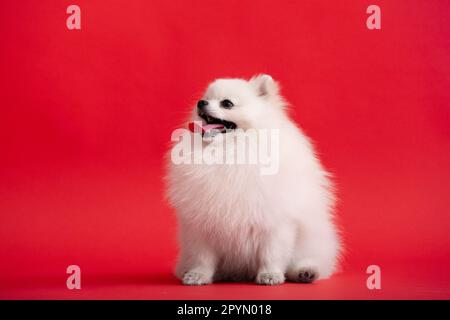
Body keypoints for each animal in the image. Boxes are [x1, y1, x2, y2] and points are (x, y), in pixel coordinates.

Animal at [166, 75, 342, 284]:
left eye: (227, 103)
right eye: (205, 98)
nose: (200, 103)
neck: (230, 152)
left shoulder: (274, 221)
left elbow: (272, 253)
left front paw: (270, 274)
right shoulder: (202, 224)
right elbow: (202, 257)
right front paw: (198, 275)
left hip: (310, 240)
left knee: (310, 259)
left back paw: (305, 272)